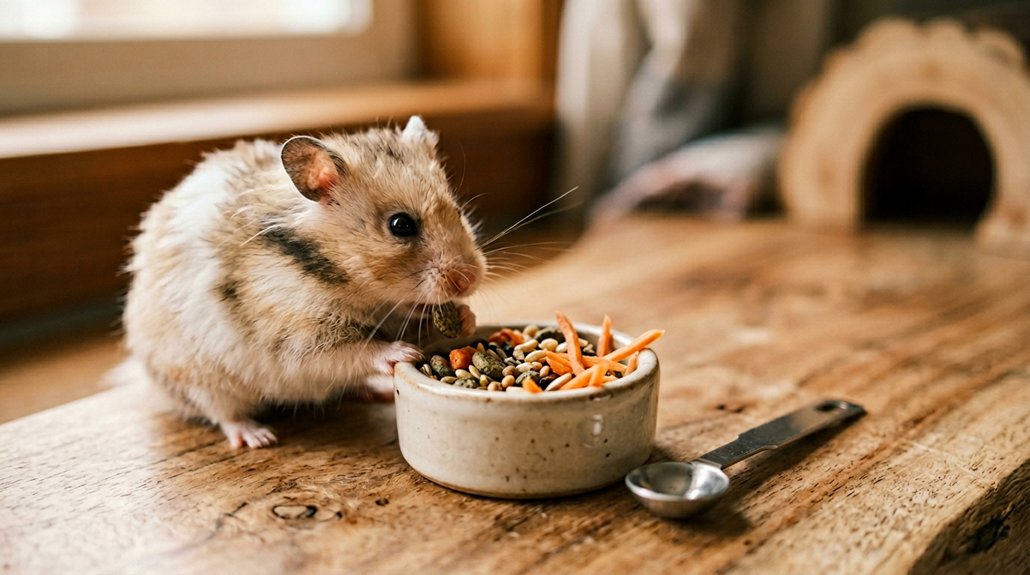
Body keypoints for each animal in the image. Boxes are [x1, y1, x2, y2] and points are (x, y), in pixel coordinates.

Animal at [117, 116, 486, 448]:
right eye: (401, 225)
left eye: (456, 211)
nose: (469, 281)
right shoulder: (296, 338)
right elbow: (355, 350)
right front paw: (403, 352)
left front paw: (467, 317)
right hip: (199, 380)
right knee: (223, 413)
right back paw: (258, 438)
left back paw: (377, 391)